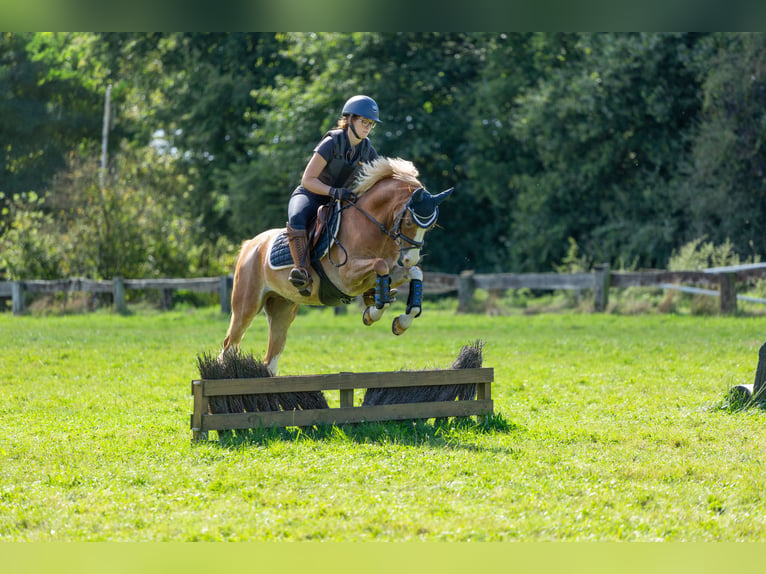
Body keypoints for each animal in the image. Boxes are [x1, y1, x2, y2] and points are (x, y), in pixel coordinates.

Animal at [219, 158, 452, 376]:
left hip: (282, 308)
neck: (371, 225)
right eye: (409, 223)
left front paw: (400, 322)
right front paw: (372, 313)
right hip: (246, 306)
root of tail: (250, 245)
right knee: (229, 346)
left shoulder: (381, 273)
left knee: (270, 359)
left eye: (430, 226)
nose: (409, 258)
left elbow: (414, 273)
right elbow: (381, 265)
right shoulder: (347, 276)